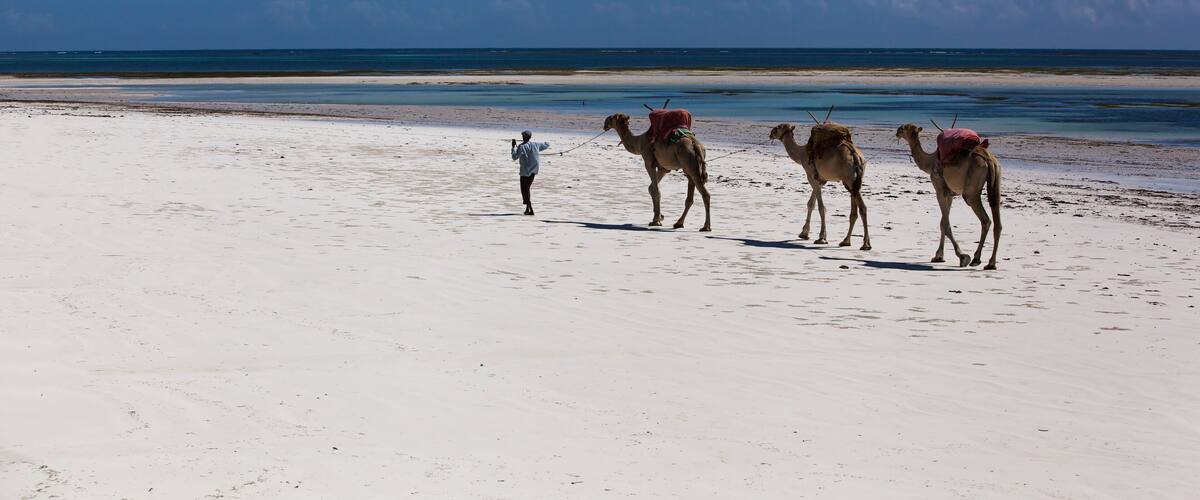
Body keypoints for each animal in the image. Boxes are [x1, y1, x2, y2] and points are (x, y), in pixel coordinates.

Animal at [895, 123, 1003, 270]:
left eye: (904, 128)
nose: (897, 131)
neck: (930, 162)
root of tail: (989, 159)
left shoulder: (940, 189)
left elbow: (945, 224)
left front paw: (962, 257)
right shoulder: (950, 194)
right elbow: (942, 223)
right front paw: (939, 256)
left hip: (971, 191)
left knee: (985, 219)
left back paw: (976, 259)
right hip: (996, 182)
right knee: (997, 220)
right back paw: (991, 263)